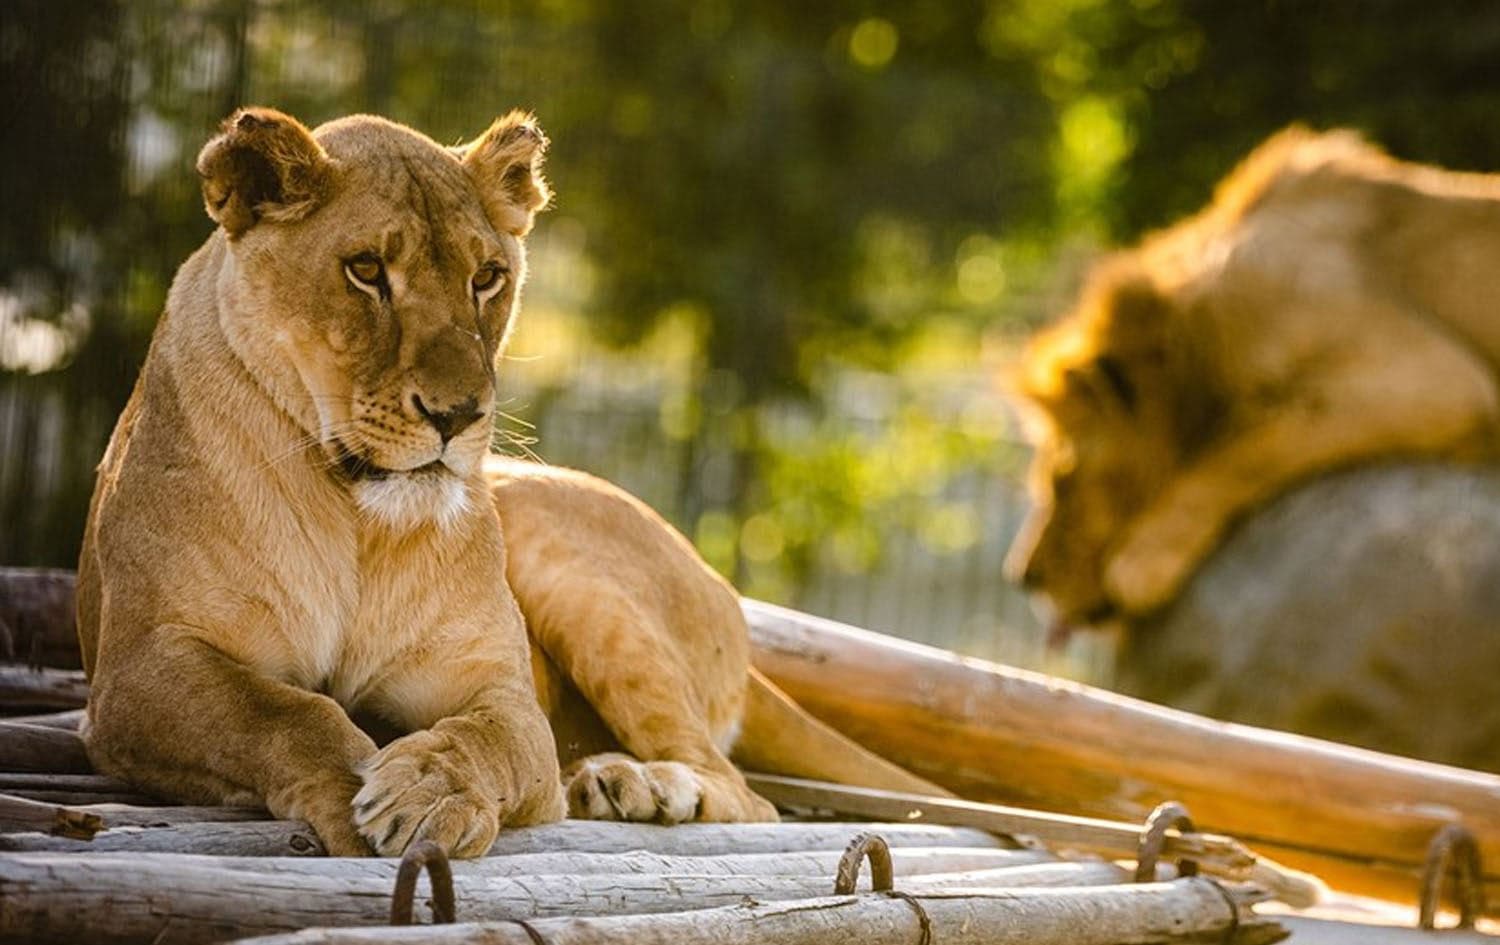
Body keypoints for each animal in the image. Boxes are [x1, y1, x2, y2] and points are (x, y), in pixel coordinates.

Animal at [77, 107, 937, 858]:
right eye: (365, 270)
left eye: (487, 277)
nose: (458, 415)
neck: (358, 521)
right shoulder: (138, 673)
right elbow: (285, 710)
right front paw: (350, 784)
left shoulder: (501, 690)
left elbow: (485, 739)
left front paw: (430, 791)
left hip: (573, 570)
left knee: (745, 792)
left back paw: (637, 783)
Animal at [1007, 127, 1500, 629]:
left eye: (1063, 480)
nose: (1023, 577)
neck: (1194, 334)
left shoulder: (1433, 378)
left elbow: (1240, 451)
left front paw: (1142, 563)